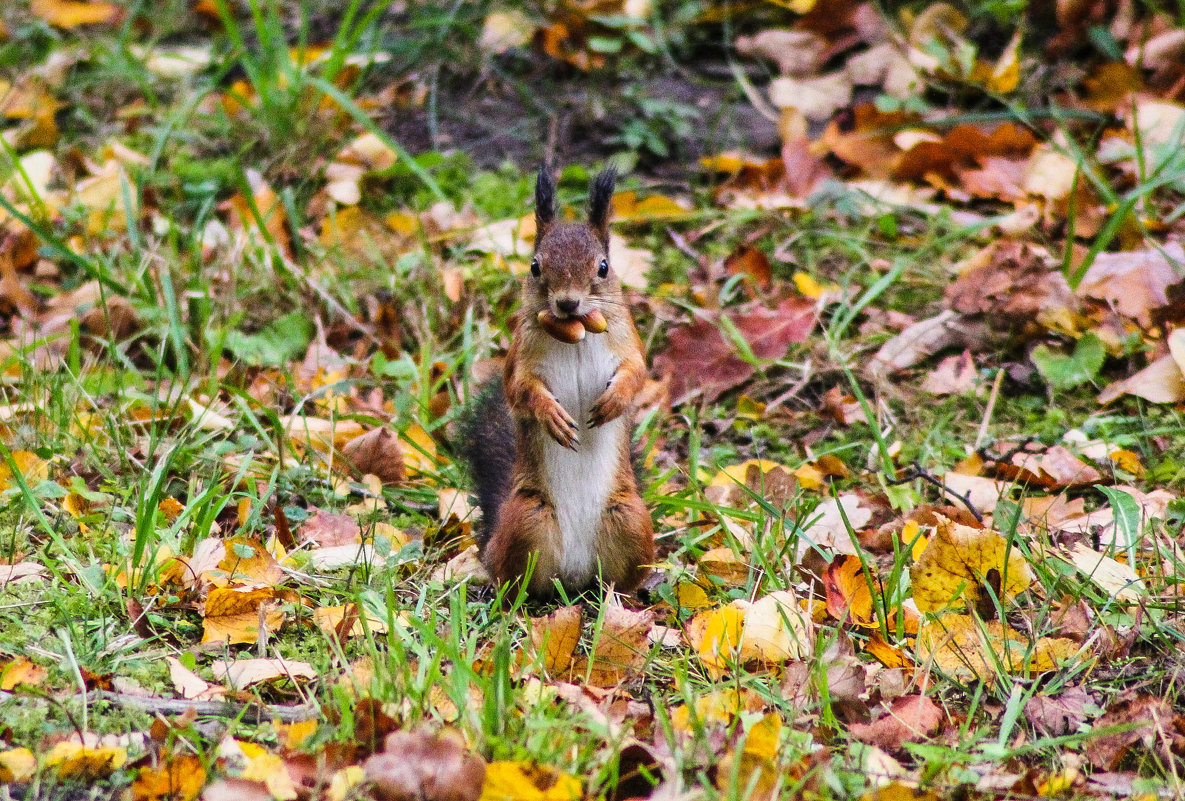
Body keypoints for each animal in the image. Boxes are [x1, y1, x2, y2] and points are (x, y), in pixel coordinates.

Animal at [457, 165, 654, 597]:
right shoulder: (520, 356)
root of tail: (574, 574)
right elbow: (520, 391)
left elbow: (637, 375)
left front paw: (615, 401)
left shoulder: (629, 344)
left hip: (629, 518)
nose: (567, 303)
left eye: (603, 267)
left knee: (618, 579)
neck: (574, 334)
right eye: (534, 266)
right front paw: (551, 416)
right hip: (527, 519)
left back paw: (624, 598)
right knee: (514, 579)